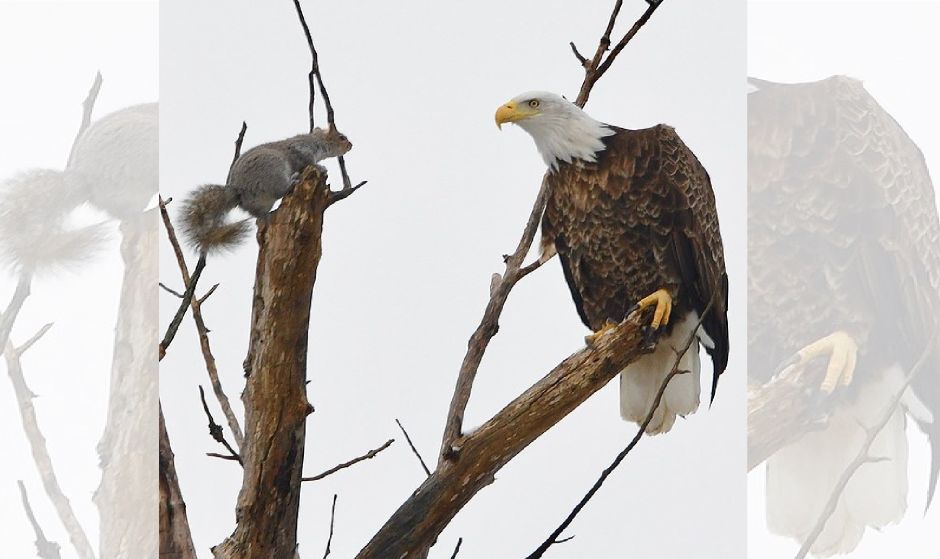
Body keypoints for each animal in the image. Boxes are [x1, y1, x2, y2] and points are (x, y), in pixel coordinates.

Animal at [179, 126, 352, 253]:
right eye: (341, 137)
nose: (350, 145)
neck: (317, 140)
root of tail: (238, 192)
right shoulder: (302, 148)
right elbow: (308, 161)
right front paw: (320, 167)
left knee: (258, 216)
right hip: (272, 170)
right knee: (280, 190)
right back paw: (292, 182)